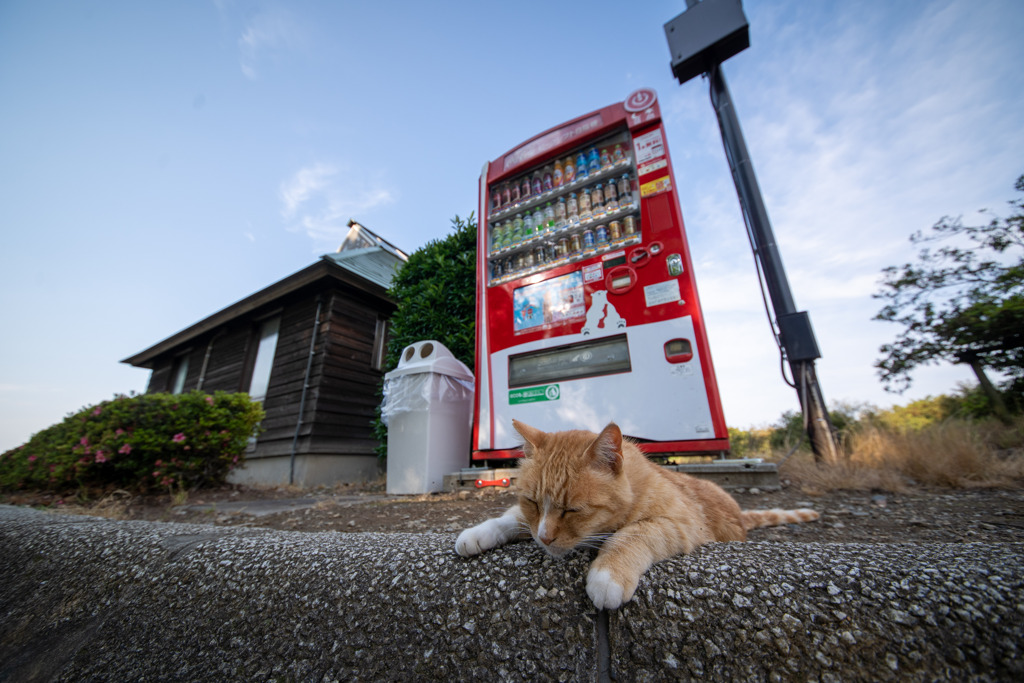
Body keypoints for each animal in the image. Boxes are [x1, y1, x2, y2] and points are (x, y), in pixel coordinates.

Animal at [460, 419, 819, 610]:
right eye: (532, 502)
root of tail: (740, 515)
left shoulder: (680, 524)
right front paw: (476, 534)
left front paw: (607, 575)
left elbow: (629, 534)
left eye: (573, 510)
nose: (545, 538)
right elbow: (509, 518)